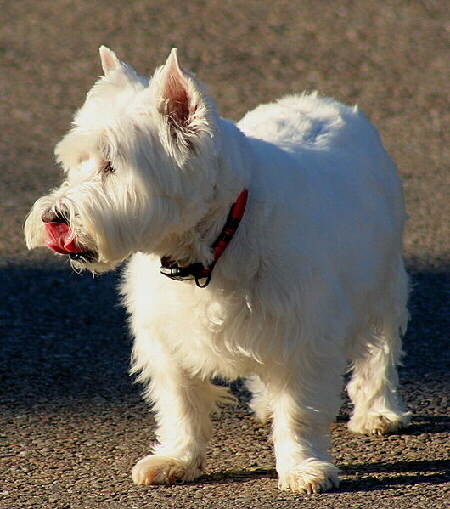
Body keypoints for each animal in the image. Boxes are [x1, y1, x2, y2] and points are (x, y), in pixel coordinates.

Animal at [24, 47, 412, 492]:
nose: (52, 218)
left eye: (111, 165)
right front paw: (176, 459)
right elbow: (180, 405)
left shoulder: (304, 334)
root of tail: (324, 102)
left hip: (382, 283)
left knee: (378, 350)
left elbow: (299, 411)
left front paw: (302, 468)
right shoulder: (166, 339)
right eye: (76, 163)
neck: (211, 243)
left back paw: (378, 411)